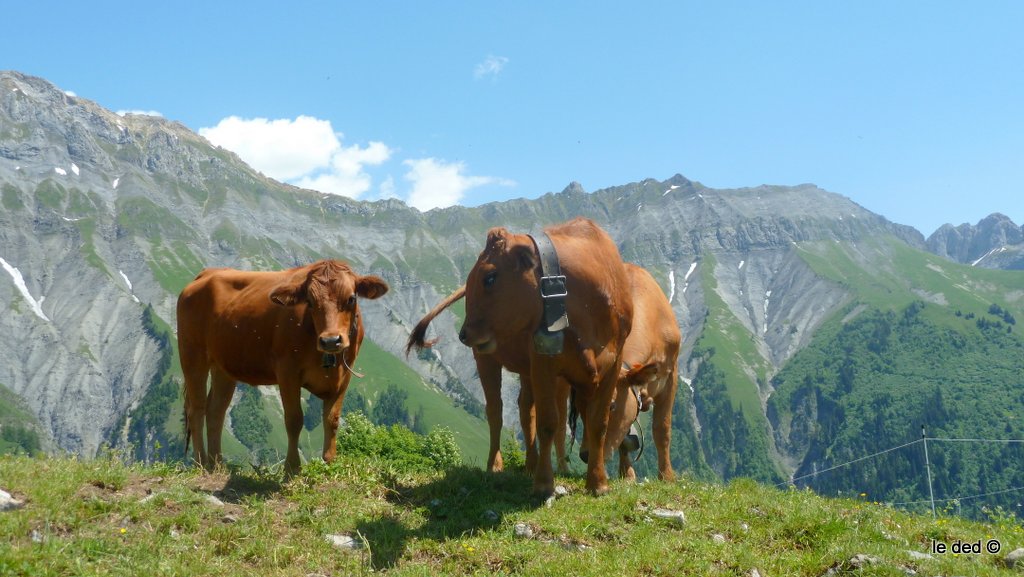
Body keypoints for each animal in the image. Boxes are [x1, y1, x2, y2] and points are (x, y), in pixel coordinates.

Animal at [176, 259, 387, 475]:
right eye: (310, 302)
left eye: (351, 298)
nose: (330, 340)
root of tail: (206, 273)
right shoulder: (287, 372)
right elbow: (294, 420)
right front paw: (292, 469)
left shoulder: (344, 376)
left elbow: (332, 420)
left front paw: (330, 464)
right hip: (192, 356)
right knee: (197, 409)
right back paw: (201, 463)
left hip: (223, 366)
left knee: (215, 410)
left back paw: (216, 465)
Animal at [407, 218, 630, 496]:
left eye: (490, 277)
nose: (463, 334)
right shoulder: (544, 362)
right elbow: (549, 422)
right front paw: (544, 484)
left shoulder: (612, 364)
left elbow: (598, 423)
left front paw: (598, 483)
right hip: (486, 358)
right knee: (496, 411)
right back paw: (495, 465)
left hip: (527, 369)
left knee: (525, 409)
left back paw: (530, 464)